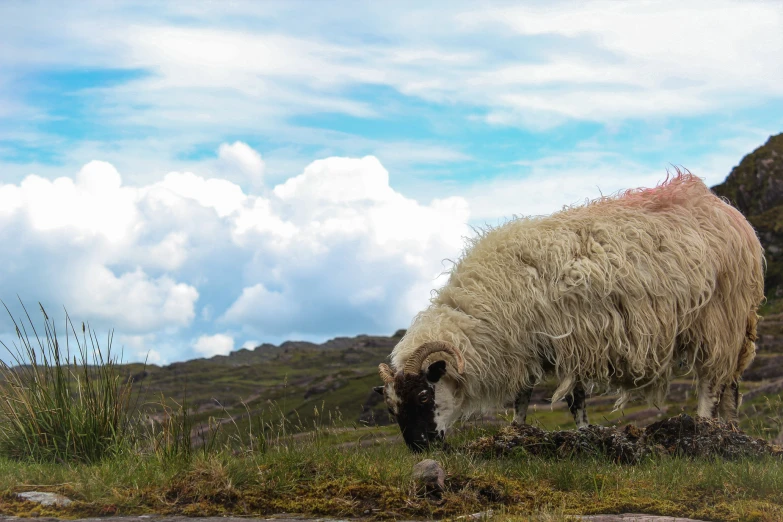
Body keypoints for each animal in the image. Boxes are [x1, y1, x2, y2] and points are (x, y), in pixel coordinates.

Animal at [376, 172, 764, 450]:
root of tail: (727, 211)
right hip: (734, 325)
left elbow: (574, 399)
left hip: (717, 317)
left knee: (710, 381)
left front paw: (583, 434)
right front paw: (516, 431)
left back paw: (704, 425)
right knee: (729, 385)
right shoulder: (531, 345)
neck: (484, 311)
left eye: (424, 394)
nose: (420, 448)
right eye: (392, 407)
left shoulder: (571, 339)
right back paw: (729, 427)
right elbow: (522, 396)